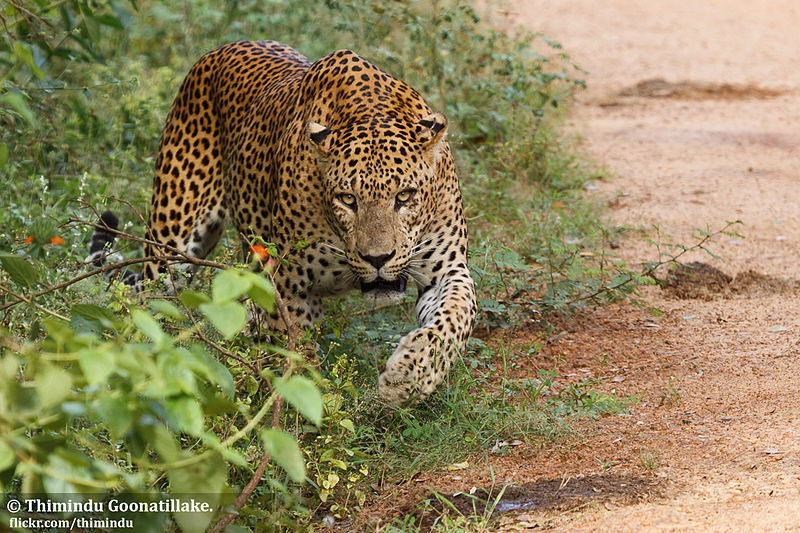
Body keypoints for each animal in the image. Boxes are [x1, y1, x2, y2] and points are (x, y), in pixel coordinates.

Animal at [89, 40, 476, 404]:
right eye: (347, 199)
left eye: (405, 196)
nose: (377, 259)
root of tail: (216, 52)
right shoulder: (287, 282)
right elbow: (297, 354)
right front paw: (311, 409)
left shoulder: (447, 268)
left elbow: (456, 316)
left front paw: (409, 377)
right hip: (170, 245)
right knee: (146, 306)